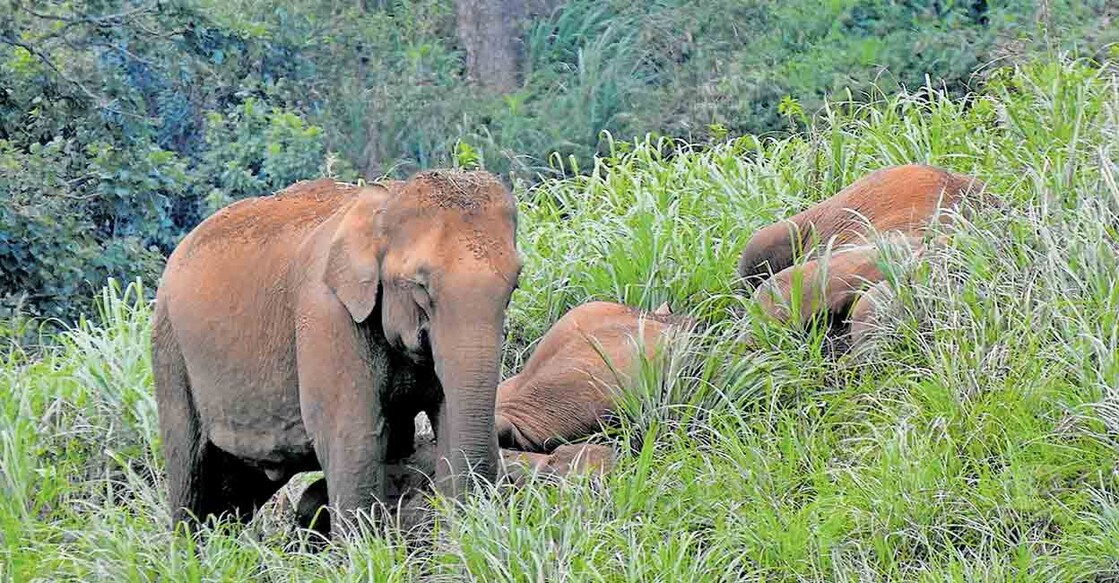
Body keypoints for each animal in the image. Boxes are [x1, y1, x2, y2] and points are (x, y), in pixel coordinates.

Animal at [151, 168, 521, 532]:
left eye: (514, 286)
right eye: (420, 285)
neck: (388, 199)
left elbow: (445, 418)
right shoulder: (325, 316)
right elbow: (354, 436)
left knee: (234, 493)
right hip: (169, 352)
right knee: (190, 473)